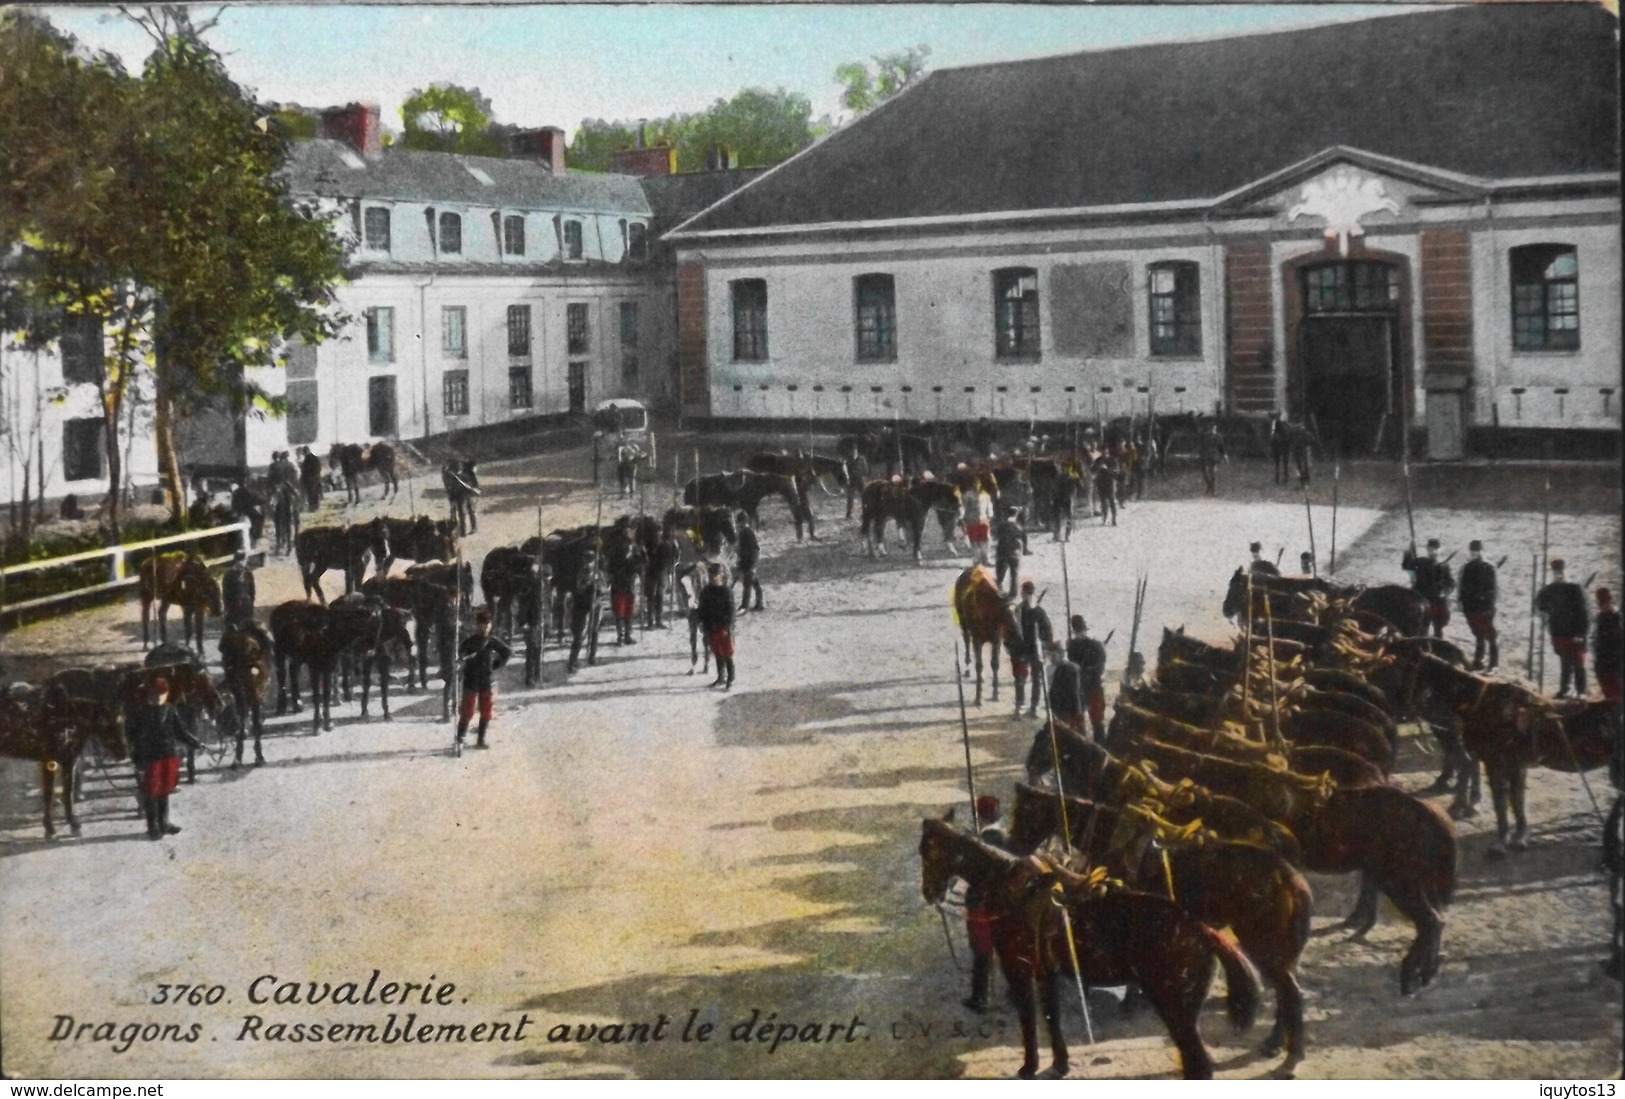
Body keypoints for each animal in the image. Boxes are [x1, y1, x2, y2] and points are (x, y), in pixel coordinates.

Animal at [0, 682, 127, 838]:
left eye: (122, 723)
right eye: (107, 725)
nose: (123, 754)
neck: (66, 722)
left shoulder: (69, 762)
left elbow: (68, 792)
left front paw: (73, 823)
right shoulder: (49, 761)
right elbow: (49, 794)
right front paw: (49, 828)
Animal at [923, 816, 1261, 1079]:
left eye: (929, 852)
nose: (929, 893)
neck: (1011, 888)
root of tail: (1203, 930)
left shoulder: (1017, 967)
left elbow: (1029, 1018)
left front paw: (1029, 1067)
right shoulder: (1045, 970)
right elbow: (1051, 1015)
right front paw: (1060, 1064)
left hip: (1176, 1008)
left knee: (1198, 1064)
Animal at [949, 565, 1014, 705]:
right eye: (1007, 616)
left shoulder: (996, 639)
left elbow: (995, 663)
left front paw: (995, 694)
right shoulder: (977, 639)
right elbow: (979, 665)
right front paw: (978, 698)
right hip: (963, 621)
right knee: (966, 639)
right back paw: (967, 668)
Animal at [1001, 786, 1319, 1079]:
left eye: (1025, 812)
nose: (1015, 854)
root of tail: (1292, 877)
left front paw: (1130, 1001)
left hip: (1263, 945)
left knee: (1290, 992)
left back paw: (1291, 1058)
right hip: (1277, 950)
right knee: (1286, 991)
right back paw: (1275, 1044)